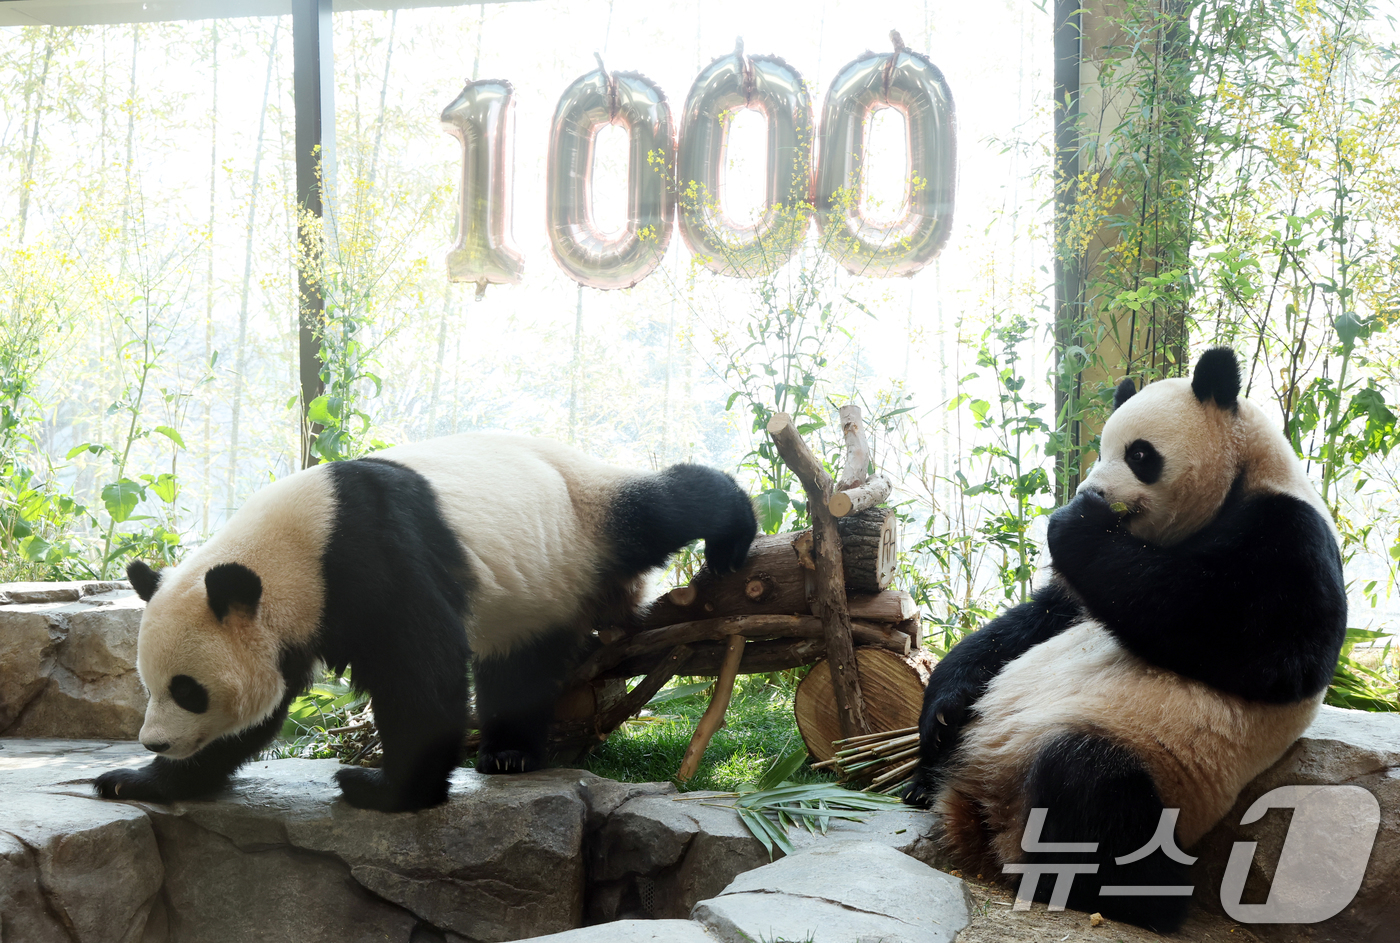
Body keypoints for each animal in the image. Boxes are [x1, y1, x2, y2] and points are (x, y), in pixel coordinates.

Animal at [94, 433, 757, 813]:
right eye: (149, 686)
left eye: (188, 690)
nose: (155, 741)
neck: (292, 551)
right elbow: (263, 715)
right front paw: (139, 780)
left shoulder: (373, 556)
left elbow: (420, 674)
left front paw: (384, 792)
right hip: (538, 588)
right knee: (518, 665)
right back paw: (509, 754)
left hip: (582, 511)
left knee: (663, 507)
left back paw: (732, 535)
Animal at [903, 348, 1346, 931]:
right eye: (1100, 449)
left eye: (1139, 454)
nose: (1090, 493)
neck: (1241, 480)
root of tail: (983, 812)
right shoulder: (1073, 600)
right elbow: (1033, 621)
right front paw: (941, 708)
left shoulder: (1289, 537)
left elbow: (1265, 647)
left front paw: (1074, 524)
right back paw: (923, 780)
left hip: (1158, 764)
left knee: (1091, 787)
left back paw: (1131, 895)